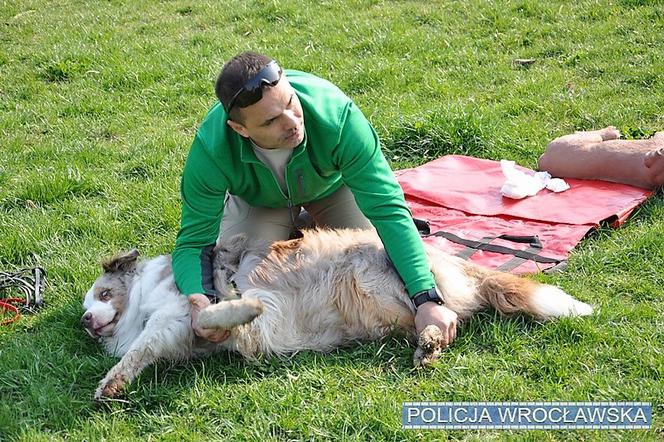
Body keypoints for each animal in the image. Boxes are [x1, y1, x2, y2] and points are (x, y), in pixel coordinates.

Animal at [80, 228, 592, 400]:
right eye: (88, 306)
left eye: (103, 292)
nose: (85, 322)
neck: (144, 299)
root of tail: (448, 258)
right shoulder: (169, 335)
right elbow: (138, 356)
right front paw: (113, 385)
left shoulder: (181, 314)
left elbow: (211, 315)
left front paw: (245, 307)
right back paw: (425, 349)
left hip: (374, 280)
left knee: (443, 313)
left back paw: (428, 341)